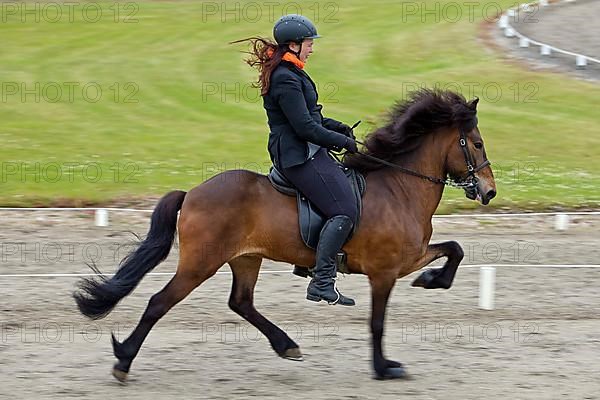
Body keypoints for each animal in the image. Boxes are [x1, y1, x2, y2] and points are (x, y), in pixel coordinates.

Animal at [74, 88, 496, 382]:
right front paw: (383, 367)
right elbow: (377, 323)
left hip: (246, 258)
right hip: (201, 263)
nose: (489, 192)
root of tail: (192, 192)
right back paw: (123, 360)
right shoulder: (385, 272)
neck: (399, 187)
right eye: (476, 143)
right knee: (159, 303)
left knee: (241, 302)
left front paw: (433, 280)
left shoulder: (409, 257)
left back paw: (286, 345)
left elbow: (454, 248)